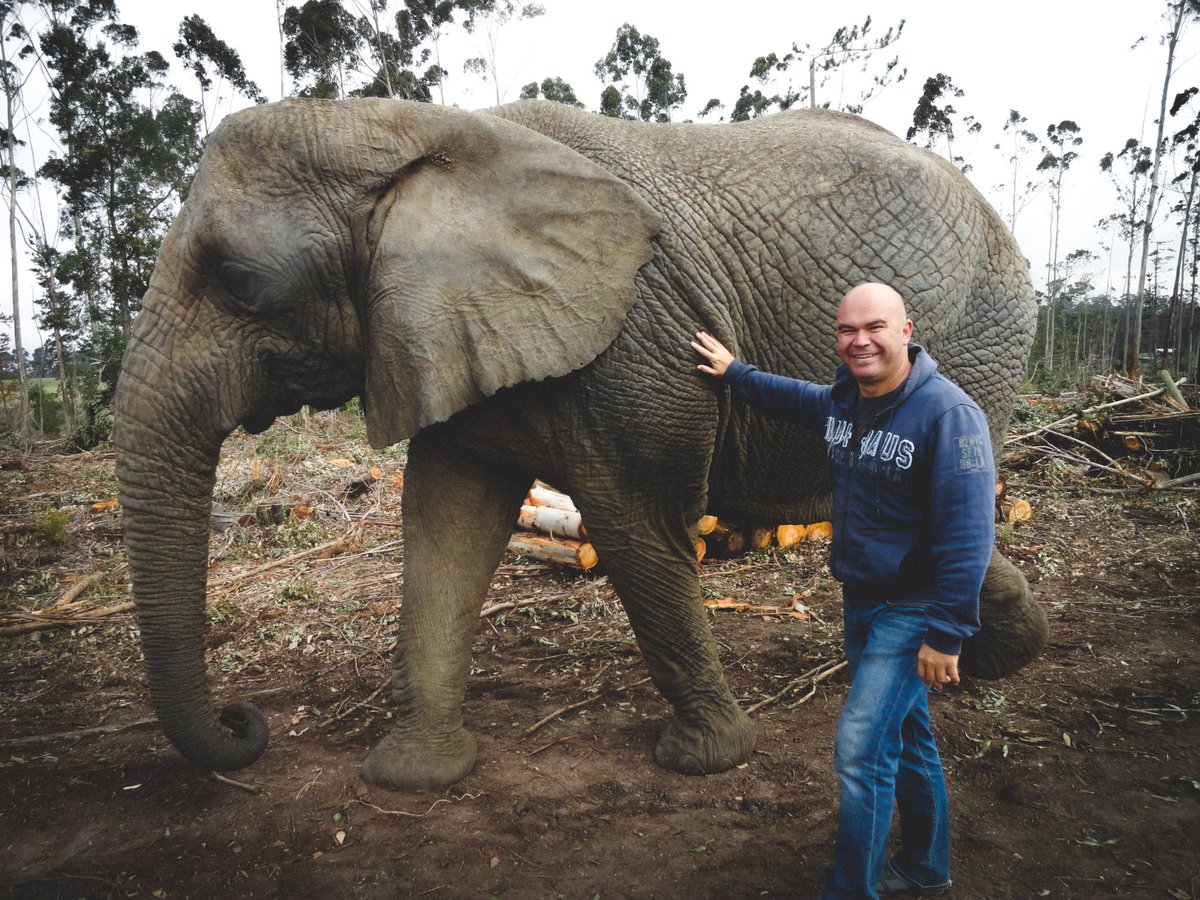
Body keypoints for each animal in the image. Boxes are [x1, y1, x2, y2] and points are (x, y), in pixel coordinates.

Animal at [114, 97, 1048, 793]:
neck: (417, 132)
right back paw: (988, 661)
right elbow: (446, 521)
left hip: (979, 340)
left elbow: (637, 526)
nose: (244, 723)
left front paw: (704, 759)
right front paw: (417, 775)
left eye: (240, 283)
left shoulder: (639, 342)